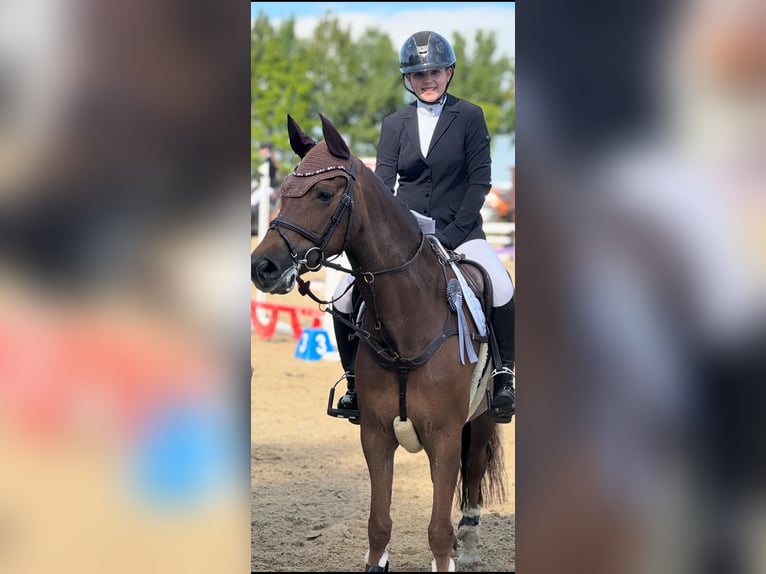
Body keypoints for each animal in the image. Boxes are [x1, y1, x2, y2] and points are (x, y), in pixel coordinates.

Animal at [251, 114, 507, 572]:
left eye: (324, 193)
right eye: (284, 190)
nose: (262, 267)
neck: (408, 324)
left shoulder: (444, 435)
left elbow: (437, 530)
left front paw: (452, 547)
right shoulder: (376, 434)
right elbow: (379, 522)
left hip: (482, 419)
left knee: (474, 469)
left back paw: (470, 542)